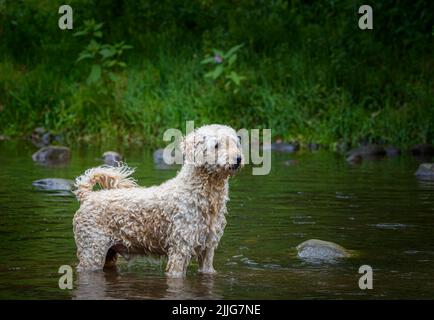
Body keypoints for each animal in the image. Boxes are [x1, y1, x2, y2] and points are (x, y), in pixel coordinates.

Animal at [73, 124, 244, 278]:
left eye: (236, 143)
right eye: (216, 145)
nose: (238, 159)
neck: (203, 196)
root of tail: (88, 196)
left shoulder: (208, 249)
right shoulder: (180, 248)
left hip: (108, 254)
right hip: (92, 251)